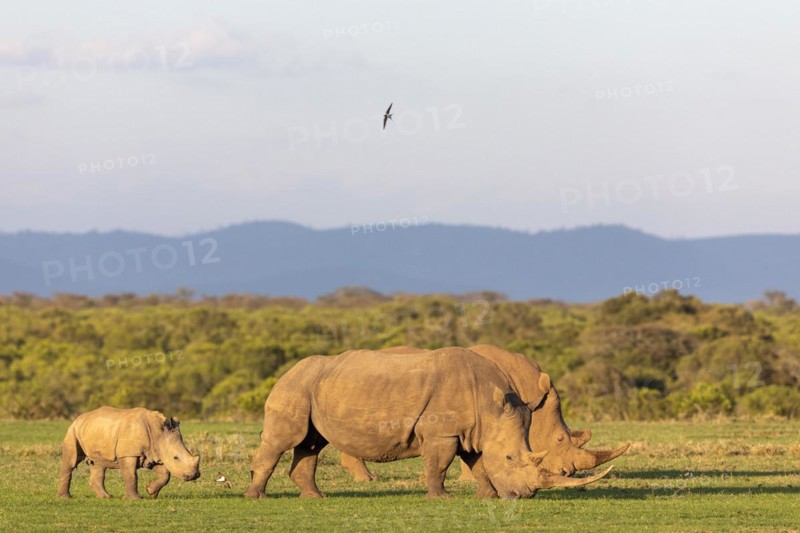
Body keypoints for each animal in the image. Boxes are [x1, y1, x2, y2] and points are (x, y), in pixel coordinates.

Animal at [56, 407, 201, 499]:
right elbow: (131, 475)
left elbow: (165, 475)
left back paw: (106, 497)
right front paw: (135, 499)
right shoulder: (129, 453)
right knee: (71, 462)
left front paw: (151, 492)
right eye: (176, 457)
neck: (159, 432)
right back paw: (65, 498)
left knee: (98, 463)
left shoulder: (155, 452)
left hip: (97, 431)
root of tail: (79, 417)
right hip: (73, 430)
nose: (194, 475)